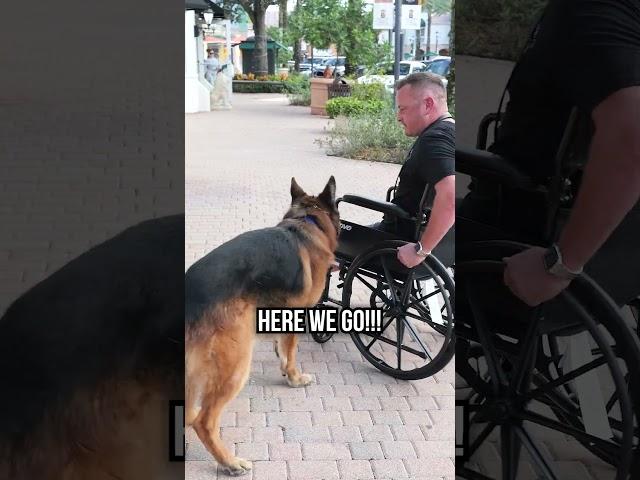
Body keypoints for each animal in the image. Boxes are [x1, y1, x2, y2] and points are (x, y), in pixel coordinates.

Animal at [185, 177, 340, 476]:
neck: (308, 221)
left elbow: (281, 346)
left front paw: (283, 364)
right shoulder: (297, 314)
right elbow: (291, 351)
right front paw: (293, 377)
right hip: (236, 364)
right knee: (203, 421)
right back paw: (230, 462)